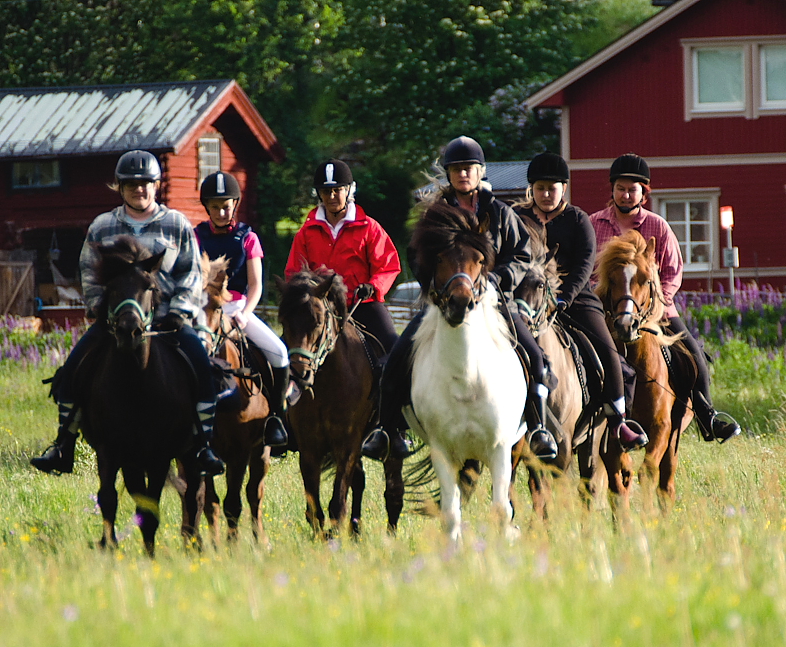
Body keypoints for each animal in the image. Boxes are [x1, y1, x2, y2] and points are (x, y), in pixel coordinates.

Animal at [75, 237, 201, 556]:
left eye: (149, 287)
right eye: (111, 287)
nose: (129, 330)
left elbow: (151, 507)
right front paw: (108, 546)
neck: (135, 385)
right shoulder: (109, 450)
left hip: (190, 451)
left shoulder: (159, 455)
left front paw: (150, 555)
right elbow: (109, 498)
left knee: (194, 493)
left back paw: (194, 542)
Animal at [196, 256, 276, 548]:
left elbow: (233, 501)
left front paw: (231, 548)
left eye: (218, 307)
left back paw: (261, 541)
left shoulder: (239, 451)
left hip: (262, 449)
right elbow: (210, 503)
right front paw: (216, 546)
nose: (202, 348)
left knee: (255, 493)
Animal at [276, 270, 402, 540]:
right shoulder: (309, 447)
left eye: (318, 320)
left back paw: (390, 536)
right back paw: (355, 532)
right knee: (360, 482)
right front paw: (321, 540)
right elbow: (314, 508)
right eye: (284, 321)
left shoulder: (346, 445)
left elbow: (337, 503)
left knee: (394, 490)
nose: (299, 374)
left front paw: (333, 539)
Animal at [404, 204, 528, 540]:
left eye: (481, 260)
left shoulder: (501, 450)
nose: (460, 302)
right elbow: (450, 515)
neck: (466, 381)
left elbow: (501, 511)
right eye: (438, 258)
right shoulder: (443, 453)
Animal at [596, 230, 692, 512]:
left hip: (674, 437)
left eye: (646, 279)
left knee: (666, 483)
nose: (626, 325)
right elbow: (619, 476)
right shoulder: (613, 435)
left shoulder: (662, 426)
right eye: (612, 279)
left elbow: (647, 471)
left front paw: (649, 515)